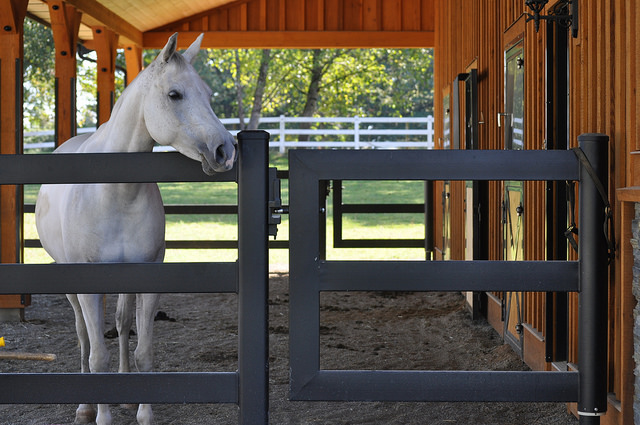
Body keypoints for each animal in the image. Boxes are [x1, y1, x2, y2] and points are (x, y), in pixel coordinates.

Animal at [34, 34, 238, 424]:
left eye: (207, 94)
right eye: (174, 94)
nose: (226, 149)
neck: (115, 191)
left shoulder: (147, 275)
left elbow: (143, 349)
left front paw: (143, 412)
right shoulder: (88, 284)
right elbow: (98, 355)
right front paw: (101, 415)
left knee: (122, 322)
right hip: (67, 279)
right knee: (83, 334)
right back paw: (85, 407)